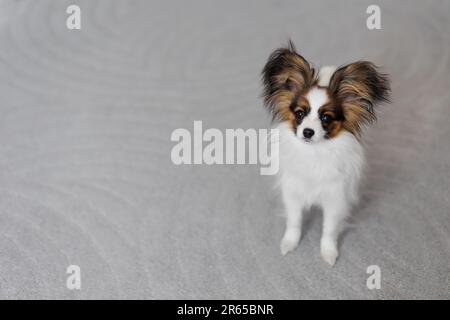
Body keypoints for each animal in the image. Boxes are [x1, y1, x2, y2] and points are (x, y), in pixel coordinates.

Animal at [262, 41, 388, 266]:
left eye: (326, 118)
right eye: (300, 114)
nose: (307, 132)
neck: (315, 152)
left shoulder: (335, 198)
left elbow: (328, 229)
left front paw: (328, 252)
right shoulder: (293, 193)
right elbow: (294, 222)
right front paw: (289, 243)